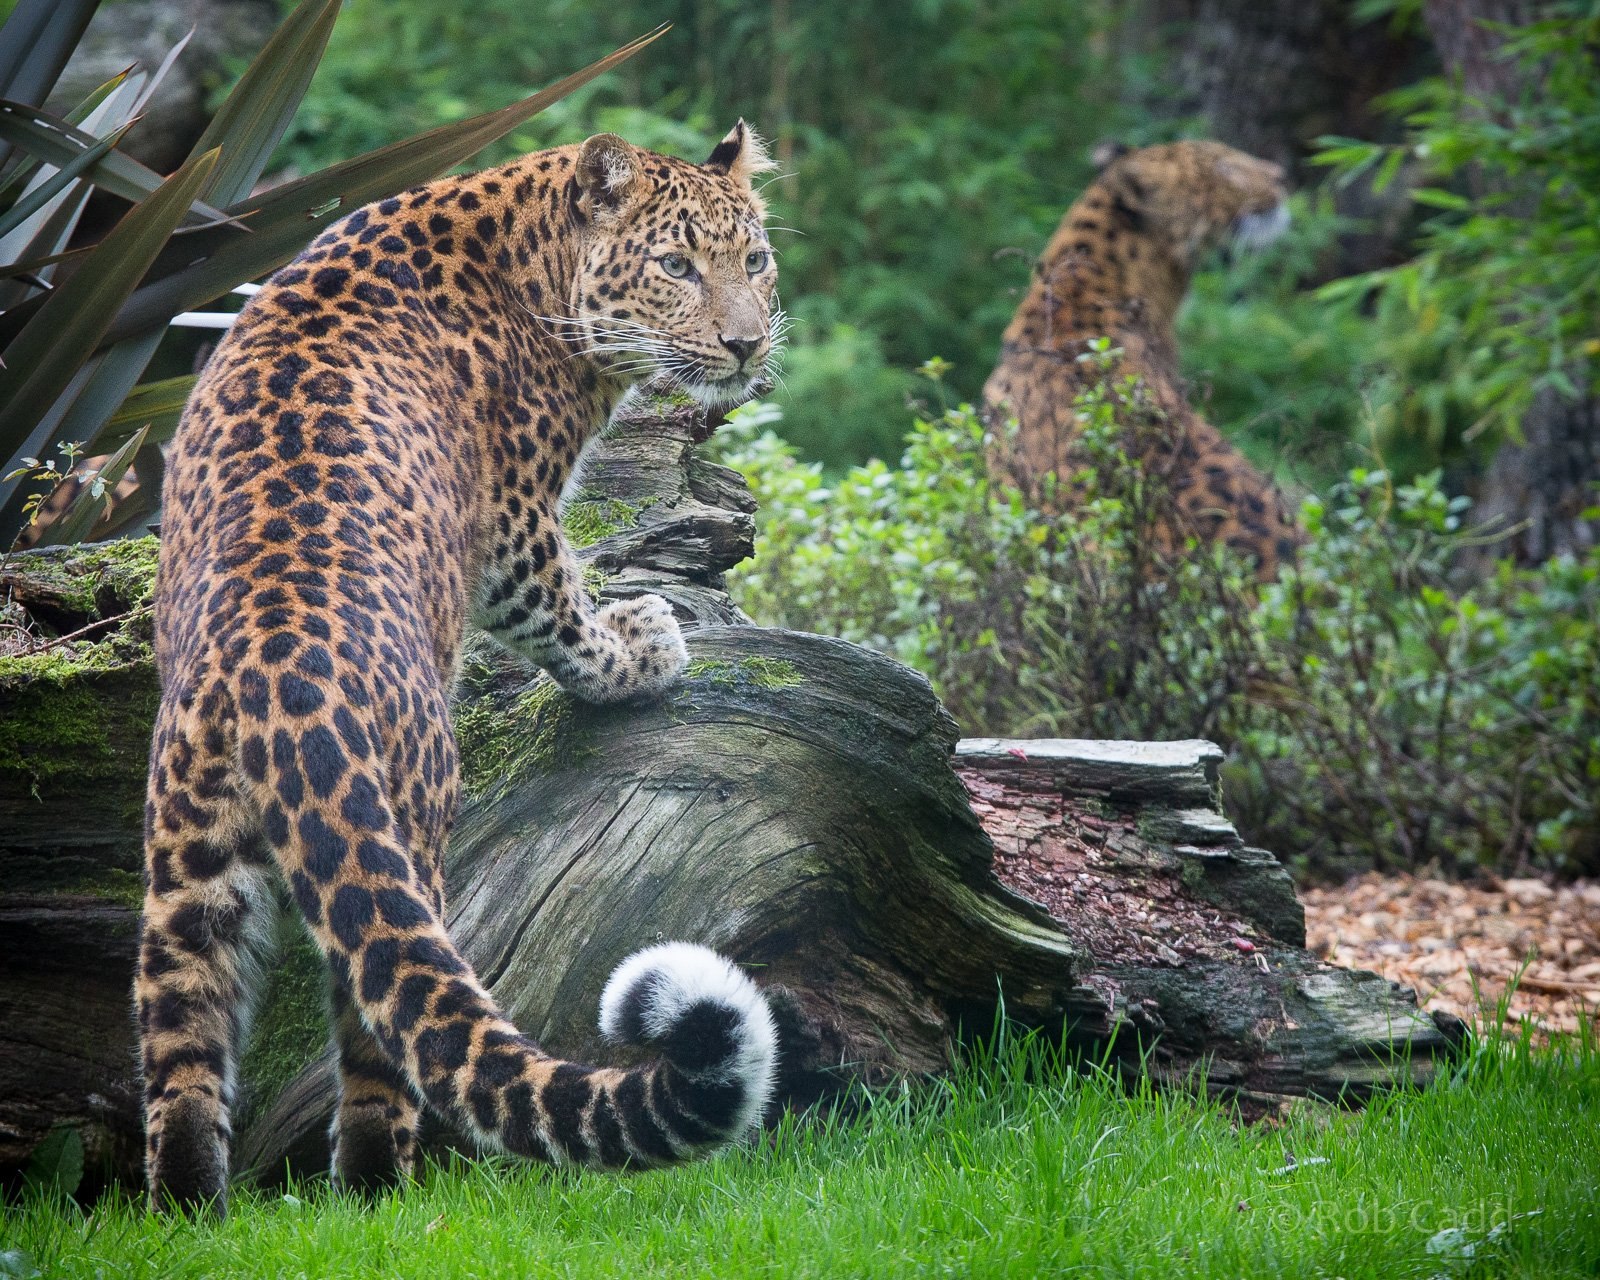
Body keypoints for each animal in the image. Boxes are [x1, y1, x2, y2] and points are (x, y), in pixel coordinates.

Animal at [137, 124, 787, 1216]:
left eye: (757, 259)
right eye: (676, 266)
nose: (746, 346)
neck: (534, 252)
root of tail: (275, 664)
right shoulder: (516, 521)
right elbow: (566, 607)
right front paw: (642, 644)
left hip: (184, 854)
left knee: (181, 1054)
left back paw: (191, 1212)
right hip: (408, 817)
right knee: (381, 1043)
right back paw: (381, 1199)